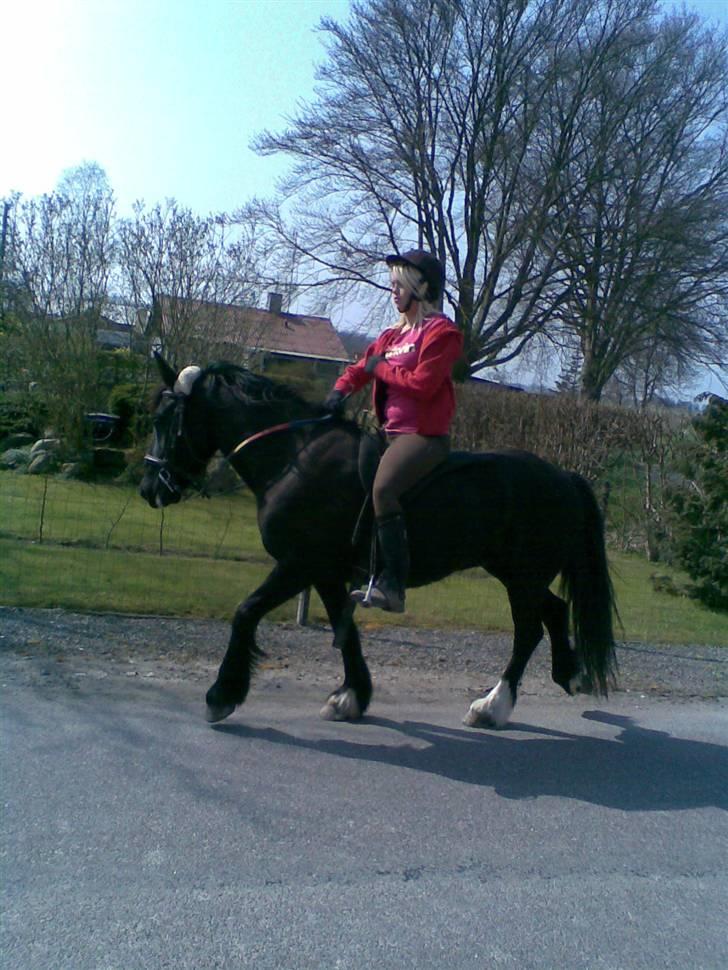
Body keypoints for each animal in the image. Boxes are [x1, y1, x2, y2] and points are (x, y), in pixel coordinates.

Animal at [140, 355, 618, 729]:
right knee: (553, 611)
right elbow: (345, 632)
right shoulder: (327, 573)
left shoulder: (298, 563)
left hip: (522, 577)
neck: (295, 457)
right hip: (518, 574)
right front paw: (351, 696)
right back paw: (568, 674)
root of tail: (563, 476)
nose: (148, 488)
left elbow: (246, 612)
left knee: (528, 631)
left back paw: (492, 706)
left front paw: (222, 694)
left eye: (165, 421)